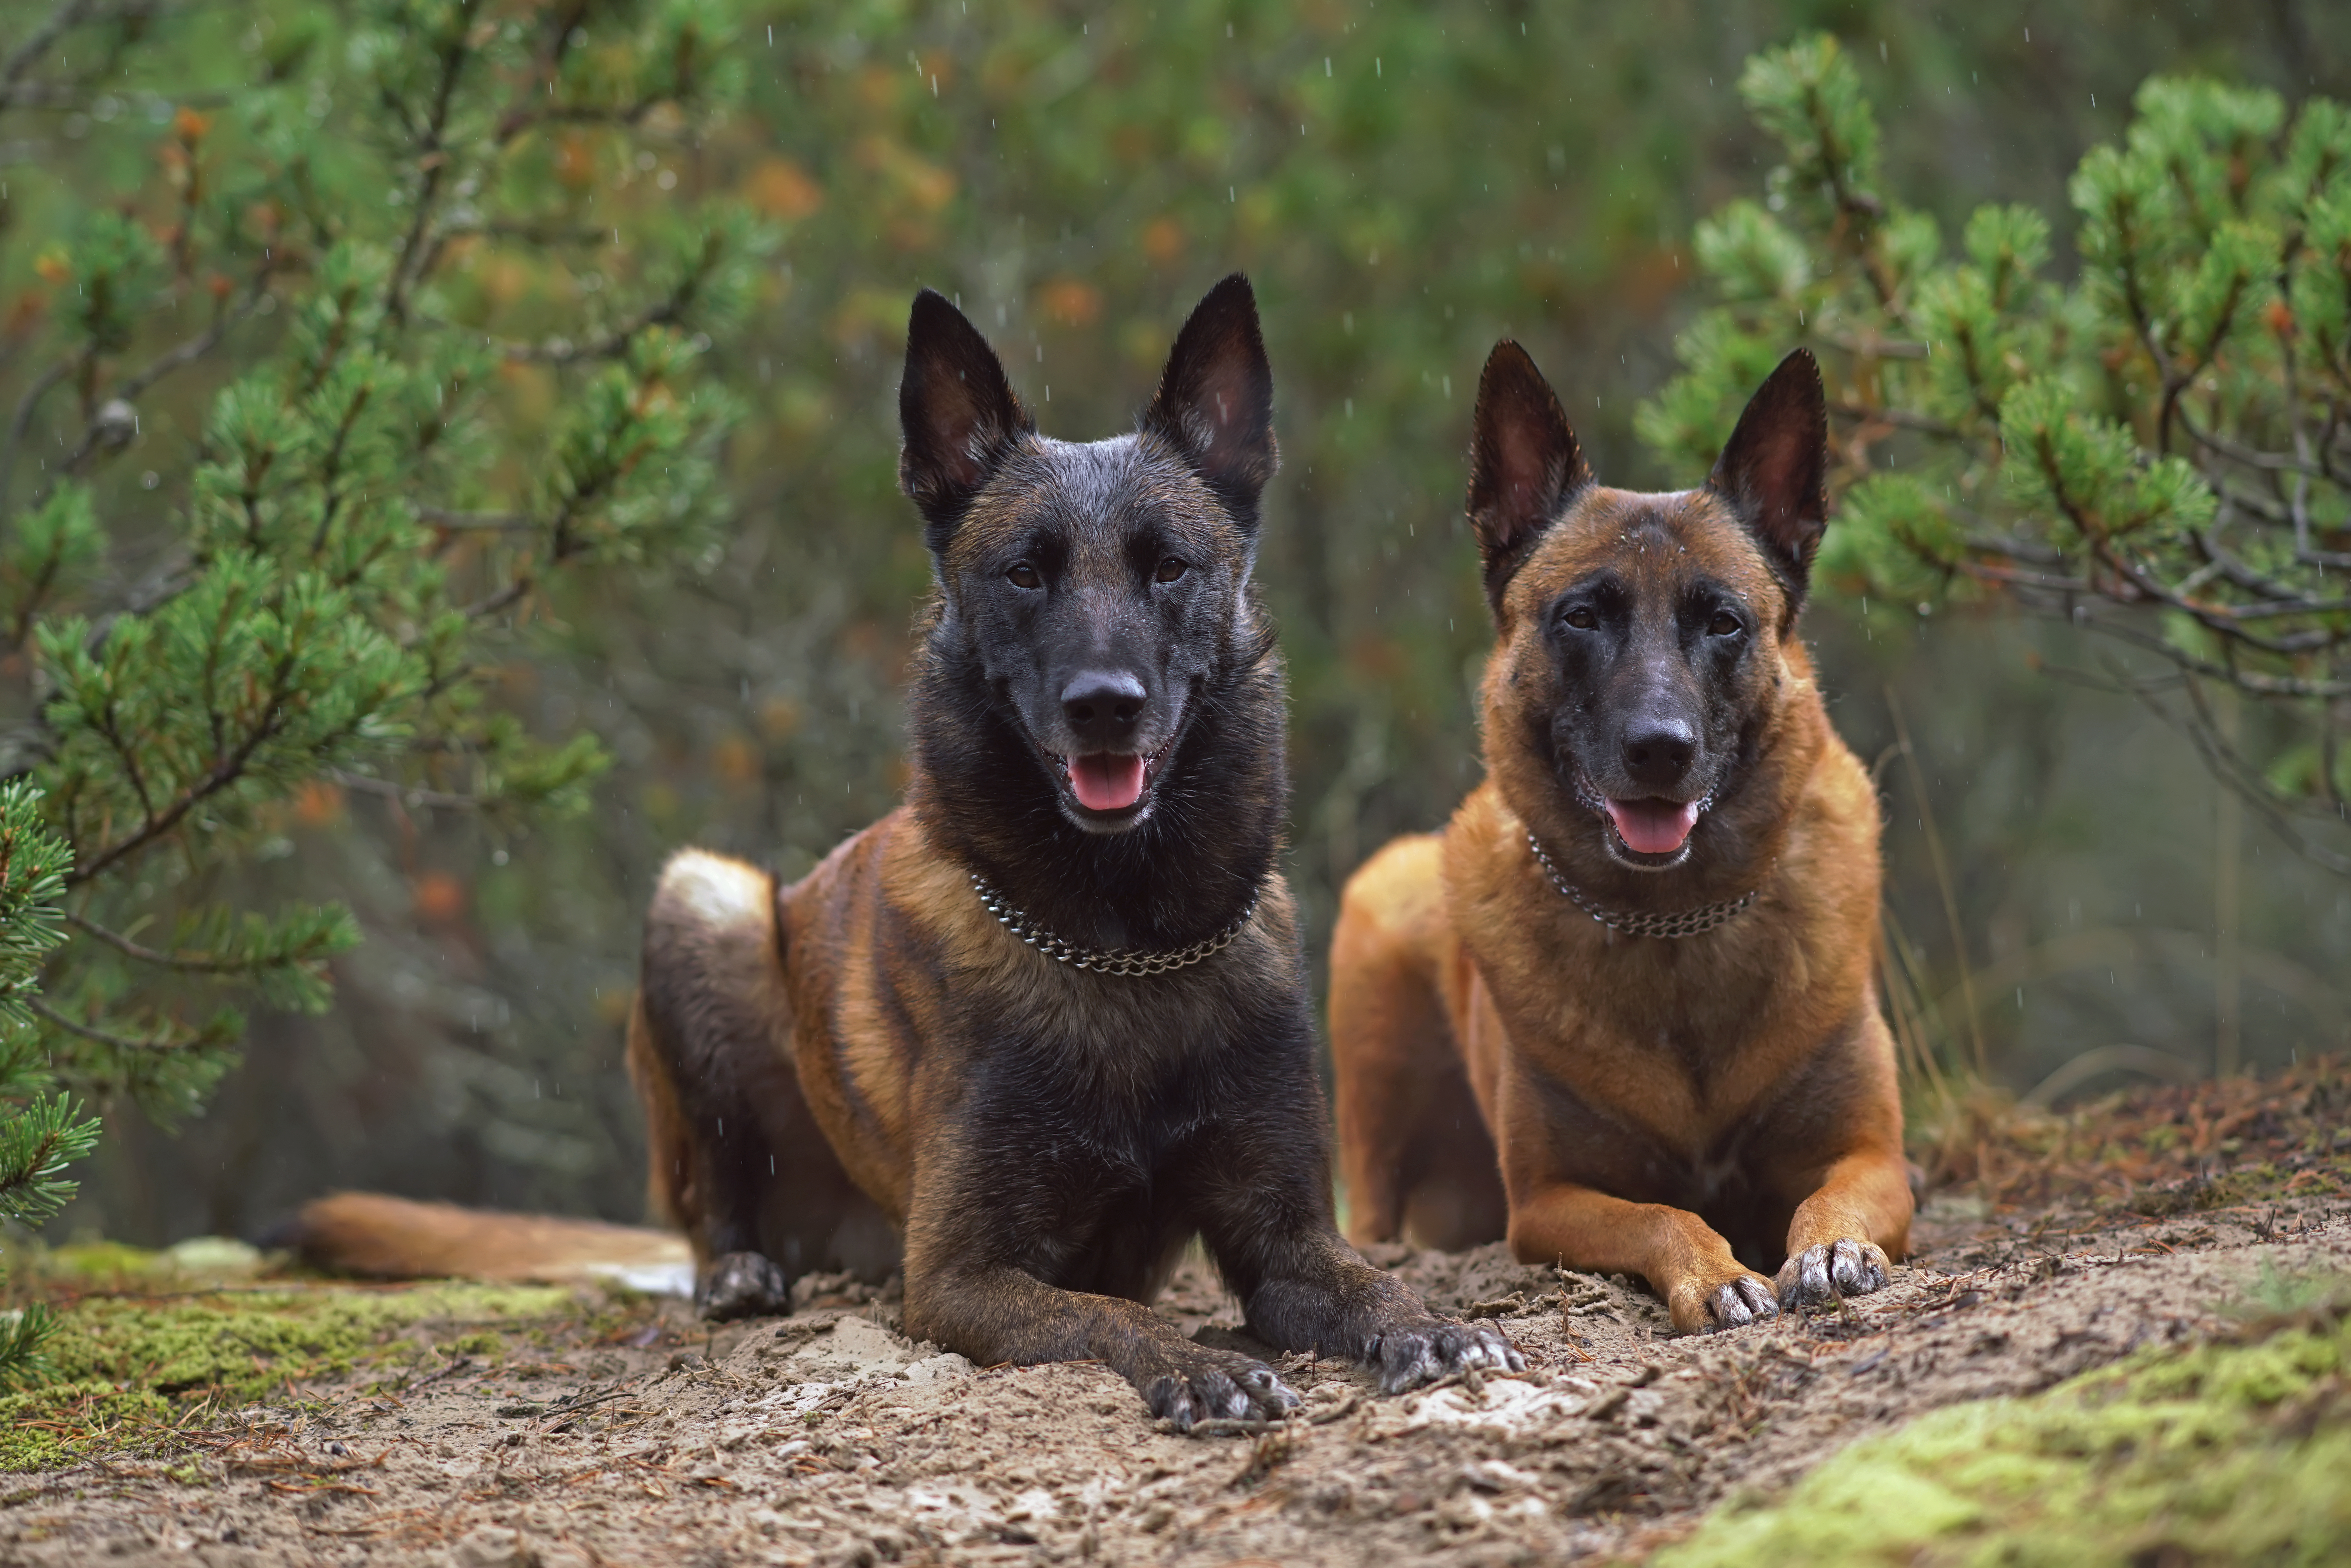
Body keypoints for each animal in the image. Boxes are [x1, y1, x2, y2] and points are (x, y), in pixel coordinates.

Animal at [621, 278, 1505, 1420]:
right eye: (1024, 573)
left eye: (1168, 566)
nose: (1104, 706)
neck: (1126, 942)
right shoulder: (958, 1276)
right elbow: (1105, 1314)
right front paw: (1200, 1363)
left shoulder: (1287, 1239)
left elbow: (1367, 1279)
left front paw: (1431, 1323)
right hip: (706, 896)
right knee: (713, 1201)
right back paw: (739, 1270)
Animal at [1326, 343, 1909, 1335]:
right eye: (1583, 616)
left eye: (1723, 621)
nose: (1660, 750)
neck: (1676, 926)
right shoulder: (1548, 1201)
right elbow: (1663, 1215)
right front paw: (1715, 1273)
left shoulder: (1874, 1156)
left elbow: (1831, 1200)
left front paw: (1831, 1249)